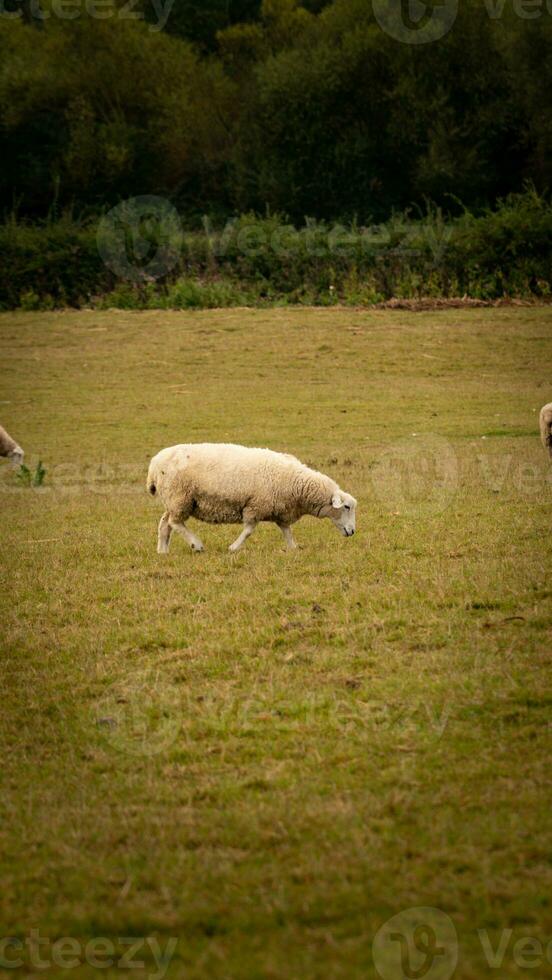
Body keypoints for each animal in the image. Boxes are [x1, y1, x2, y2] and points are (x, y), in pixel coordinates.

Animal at [146, 442, 358, 552]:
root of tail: (154, 463)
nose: (352, 531)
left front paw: (293, 548)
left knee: (165, 523)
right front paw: (233, 547)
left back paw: (162, 551)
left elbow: (287, 531)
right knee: (175, 522)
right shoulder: (255, 506)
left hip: (175, 499)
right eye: (346, 507)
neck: (297, 485)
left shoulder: (280, 510)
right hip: (180, 496)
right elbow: (248, 530)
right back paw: (196, 544)